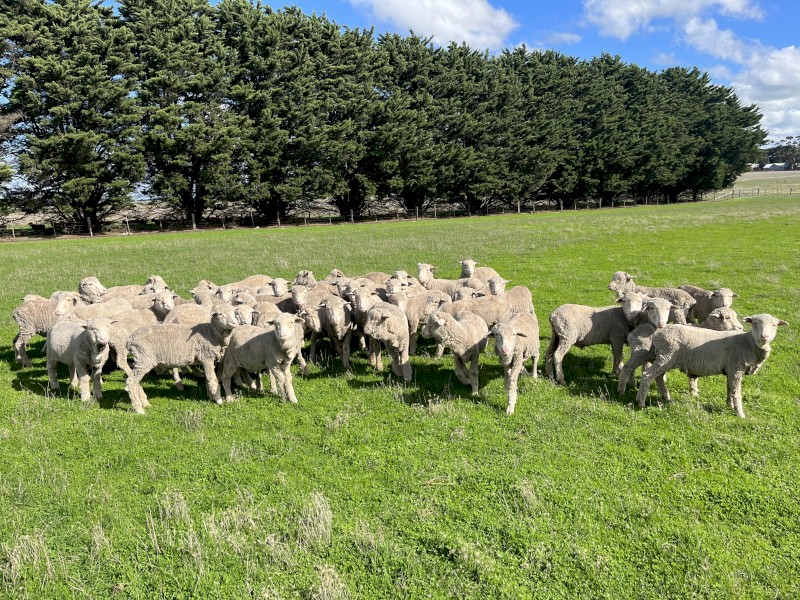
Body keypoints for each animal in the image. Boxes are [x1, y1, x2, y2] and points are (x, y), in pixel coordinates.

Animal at [635, 314, 788, 417]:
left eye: (774, 325)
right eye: (755, 323)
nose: (764, 337)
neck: (747, 343)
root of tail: (658, 334)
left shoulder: (731, 370)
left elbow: (730, 390)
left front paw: (729, 405)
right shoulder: (736, 369)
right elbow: (737, 393)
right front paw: (740, 414)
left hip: (665, 359)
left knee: (659, 377)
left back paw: (666, 397)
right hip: (666, 356)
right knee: (648, 375)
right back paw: (641, 402)